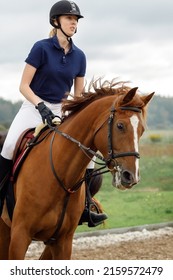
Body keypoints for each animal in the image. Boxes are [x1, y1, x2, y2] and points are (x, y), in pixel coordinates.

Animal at [0, 77, 154, 260]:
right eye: (120, 126)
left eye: (142, 130)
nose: (131, 177)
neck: (60, 177)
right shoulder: (20, 235)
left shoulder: (63, 241)